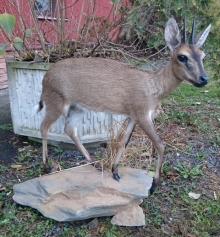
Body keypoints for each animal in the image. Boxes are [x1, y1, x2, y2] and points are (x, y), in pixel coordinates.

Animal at [37, 16, 211, 193]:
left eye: (202, 55)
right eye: (182, 56)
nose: (204, 79)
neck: (153, 86)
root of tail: (46, 76)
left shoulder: (133, 117)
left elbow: (124, 141)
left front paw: (115, 171)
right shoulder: (143, 116)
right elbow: (160, 145)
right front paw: (154, 184)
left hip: (78, 108)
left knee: (70, 129)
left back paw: (95, 164)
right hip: (57, 104)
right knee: (44, 127)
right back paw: (47, 166)